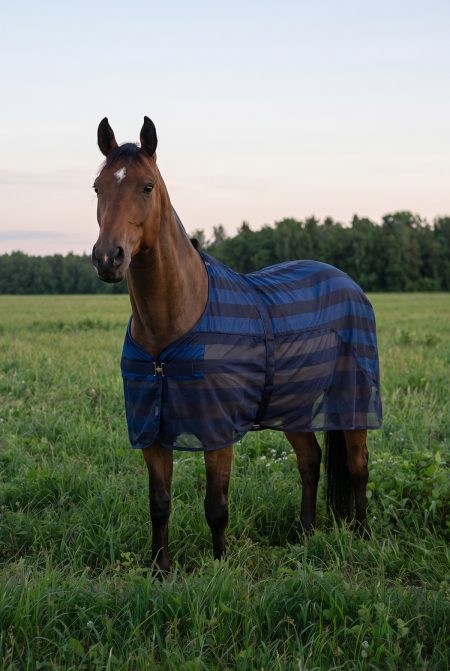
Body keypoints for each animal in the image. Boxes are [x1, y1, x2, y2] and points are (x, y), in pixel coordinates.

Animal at [92, 116, 382, 572]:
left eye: (147, 186)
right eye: (98, 187)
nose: (108, 258)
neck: (169, 330)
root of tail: (348, 281)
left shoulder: (218, 431)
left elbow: (216, 505)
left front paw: (220, 565)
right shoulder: (152, 431)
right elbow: (159, 503)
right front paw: (159, 569)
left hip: (353, 400)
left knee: (357, 465)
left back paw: (363, 535)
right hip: (293, 405)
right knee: (310, 460)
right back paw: (306, 532)